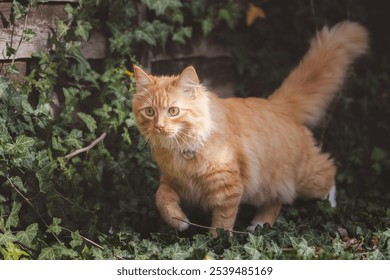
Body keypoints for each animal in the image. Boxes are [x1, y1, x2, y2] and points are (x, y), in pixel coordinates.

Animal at [133, 21, 368, 235]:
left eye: (173, 111)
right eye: (150, 112)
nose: (159, 127)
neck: (182, 150)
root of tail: (277, 104)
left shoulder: (228, 190)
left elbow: (222, 225)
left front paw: (215, 244)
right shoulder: (170, 181)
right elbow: (161, 198)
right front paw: (179, 221)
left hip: (302, 175)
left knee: (328, 170)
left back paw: (330, 207)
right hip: (271, 181)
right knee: (277, 200)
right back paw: (259, 225)